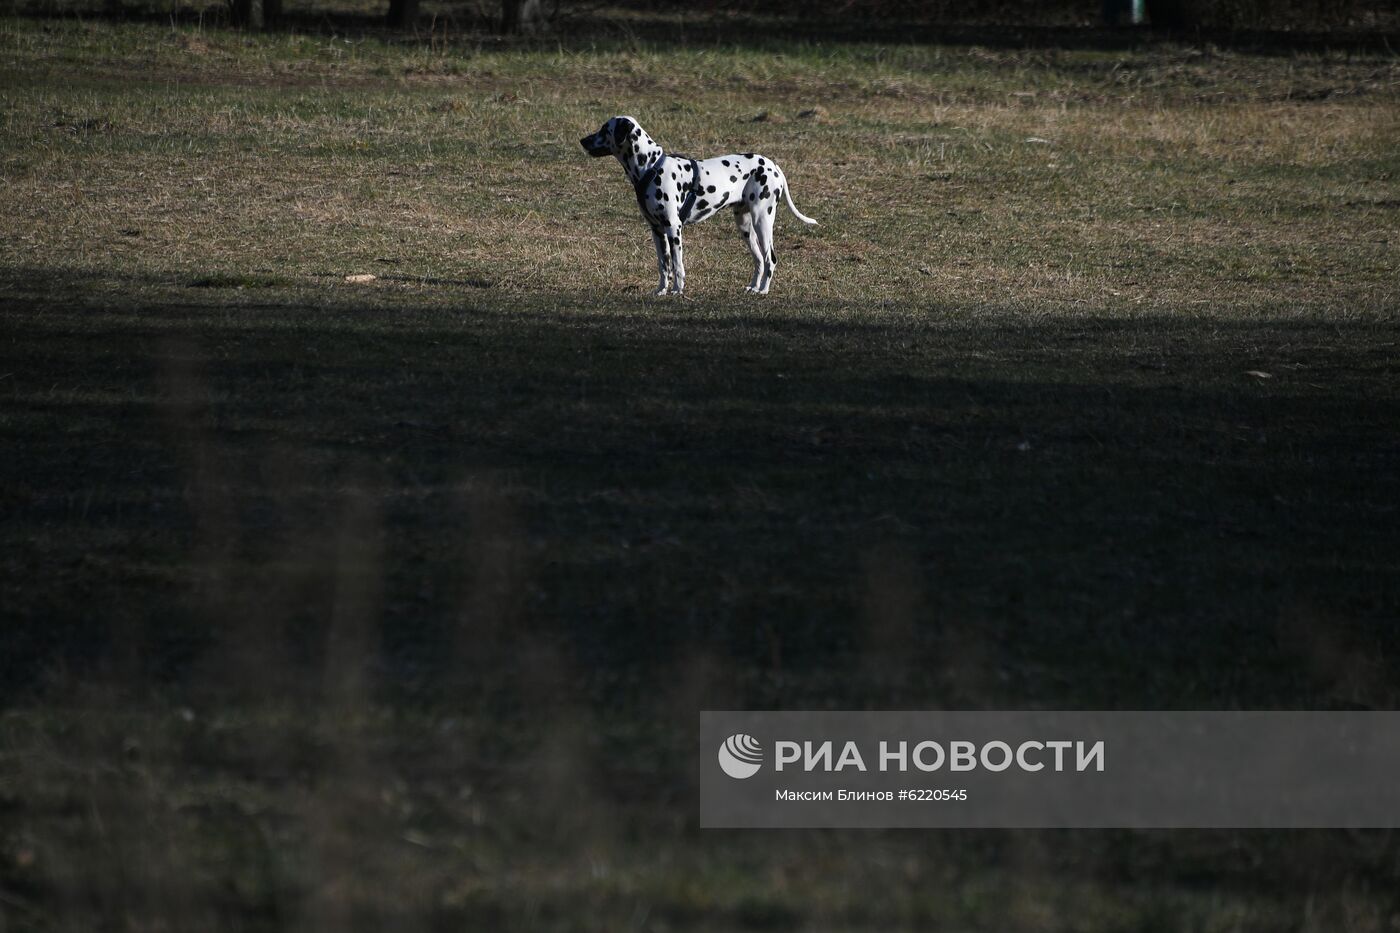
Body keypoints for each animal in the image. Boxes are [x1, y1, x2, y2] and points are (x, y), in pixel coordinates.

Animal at [579, 114, 817, 294]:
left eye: (605, 129)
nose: (582, 140)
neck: (651, 167)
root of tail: (773, 165)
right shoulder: (657, 231)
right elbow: (663, 265)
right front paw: (661, 291)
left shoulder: (674, 228)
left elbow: (677, 265)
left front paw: (677, 290)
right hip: (745, 227)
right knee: (759, 260)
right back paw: (753, 287)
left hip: (762, 221)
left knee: (770, 259)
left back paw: (764, 291)